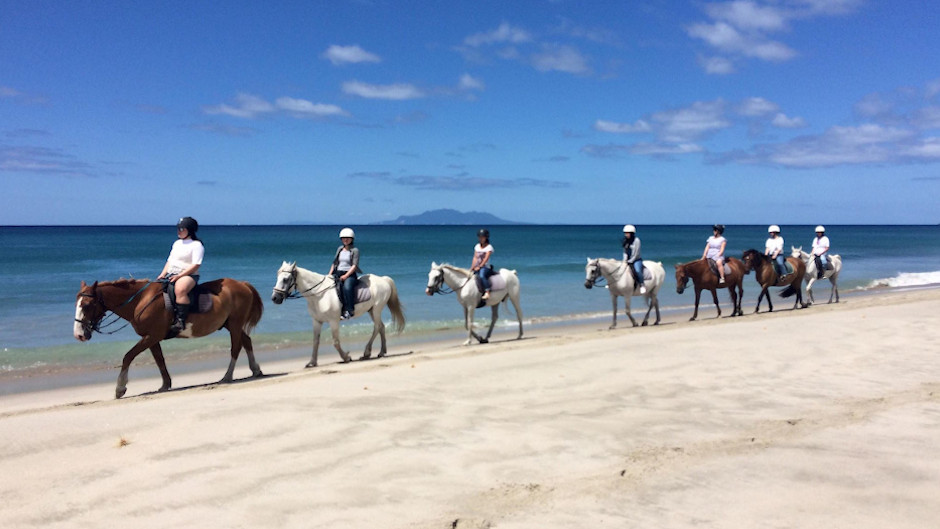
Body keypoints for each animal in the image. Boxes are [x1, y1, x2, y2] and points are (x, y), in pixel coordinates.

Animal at [72, 278, 264, 398]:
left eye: (87, 305)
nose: (79, 335)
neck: (141, 301)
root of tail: (242, 284)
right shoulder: (152, 338)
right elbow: (159, 360)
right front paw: (165, 384)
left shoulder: (151, 336)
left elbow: (128, 356)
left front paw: (120, 388)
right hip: (231, 325)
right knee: (246, 342)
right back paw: (255, 370)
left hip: (235, 324)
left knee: (236, 347)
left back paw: (227, 376)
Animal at [270, 260, 406, 368]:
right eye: (277, 277)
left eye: (285, 279)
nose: (275, 298)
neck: (319, 294)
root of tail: (383, 279)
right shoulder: (317, 321)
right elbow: (315, 341)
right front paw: (312, 362)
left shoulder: (333, 321)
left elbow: (335, 342)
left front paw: (346, 357)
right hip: (371, 310)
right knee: (381, 327)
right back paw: (381, 352)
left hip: (377, 309)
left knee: (377, 327)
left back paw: (367, 353)